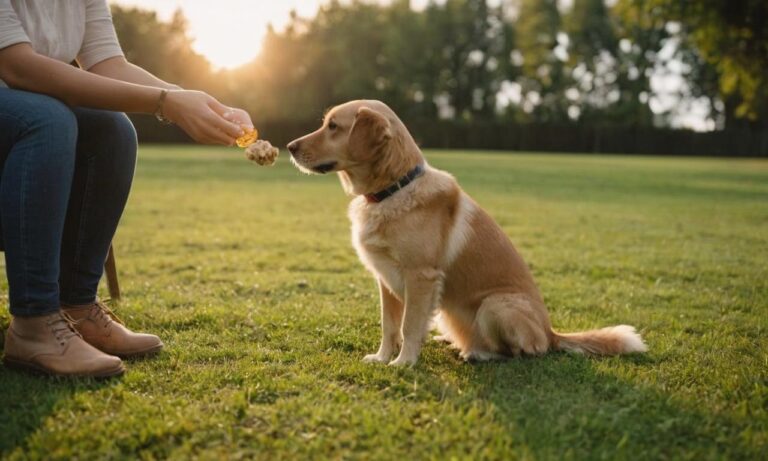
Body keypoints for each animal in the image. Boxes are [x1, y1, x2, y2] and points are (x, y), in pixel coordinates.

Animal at [284, 100, 644, 366]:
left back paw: (477, 353)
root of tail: (552, 331)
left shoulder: (421, 277)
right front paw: (383, 358)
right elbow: (389, 326)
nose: (288, 146)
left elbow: (409, 326)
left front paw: (403, 363)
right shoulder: (384, 279)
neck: (393, 189)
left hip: (495, 306)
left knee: (523, 352)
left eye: (333, 126)